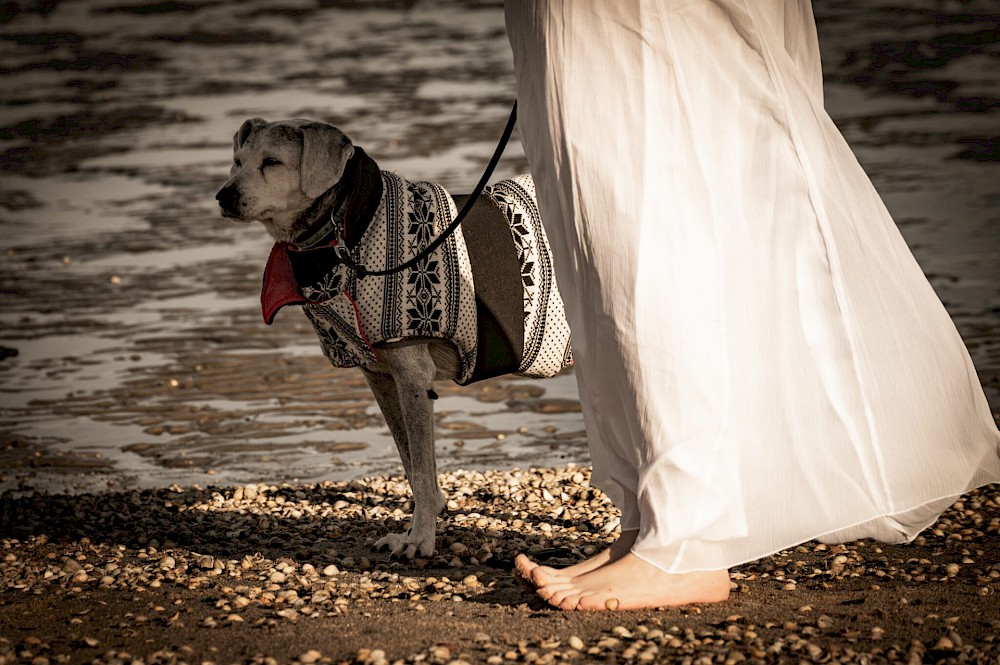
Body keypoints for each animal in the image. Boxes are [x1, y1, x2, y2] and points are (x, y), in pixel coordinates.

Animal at [216, 118, 572, 556]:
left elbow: (419, 463)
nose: (224, 195)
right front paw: (428, 513)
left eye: (272, 162)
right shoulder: (381, 377)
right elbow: (411, 461)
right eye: (237, 161)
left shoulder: (413, 377)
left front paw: (419, 539)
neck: (349, 230)